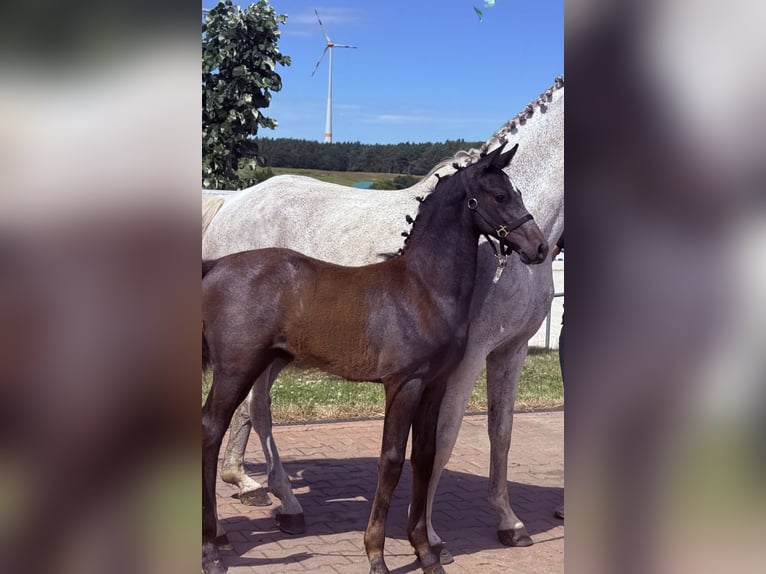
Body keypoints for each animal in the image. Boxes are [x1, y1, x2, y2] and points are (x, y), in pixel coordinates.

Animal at [203, 77, 564, 558]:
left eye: (519, 194)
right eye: (502, 194)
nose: (536, 248)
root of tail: (231, 204)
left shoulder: (511, 350)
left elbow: (500, 433)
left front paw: (509, 522)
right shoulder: (464, 360)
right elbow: (443, 439)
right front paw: (430, 535)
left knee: (251, 410)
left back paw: (257, 491)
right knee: (249, 410)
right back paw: (272, 502)